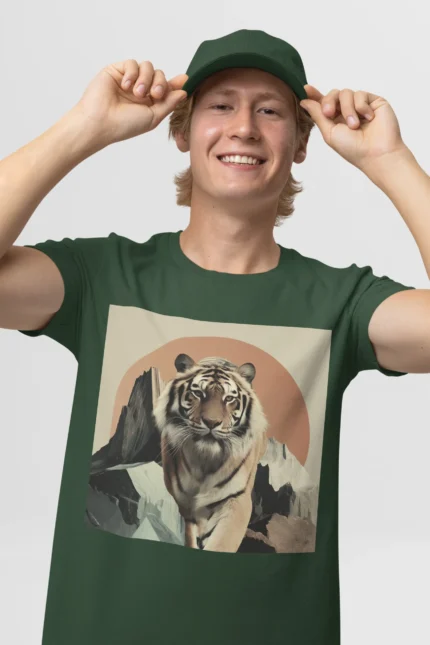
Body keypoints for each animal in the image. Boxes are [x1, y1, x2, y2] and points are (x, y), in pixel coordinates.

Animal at [152, 353, 268, 553]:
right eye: (198, 393)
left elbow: (222, 542)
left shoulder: (236, 500)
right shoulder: (184, 504)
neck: (205, 461)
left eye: (229, 398)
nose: (211, 422)